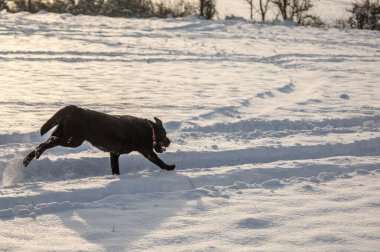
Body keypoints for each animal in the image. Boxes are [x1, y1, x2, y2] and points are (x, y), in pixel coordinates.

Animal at [24, 105, 176, 174]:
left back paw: (27, 159)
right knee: (45, 144)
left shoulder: (114, 154)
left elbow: (115, 169)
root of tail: (75, 109)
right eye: (164, 134)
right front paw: (169, 167)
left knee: (45, 142)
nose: (169, 141)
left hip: (64, 134)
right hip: (72, 140)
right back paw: (36, 154)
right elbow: (159, 161)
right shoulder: (147, 151)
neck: (150, 130)